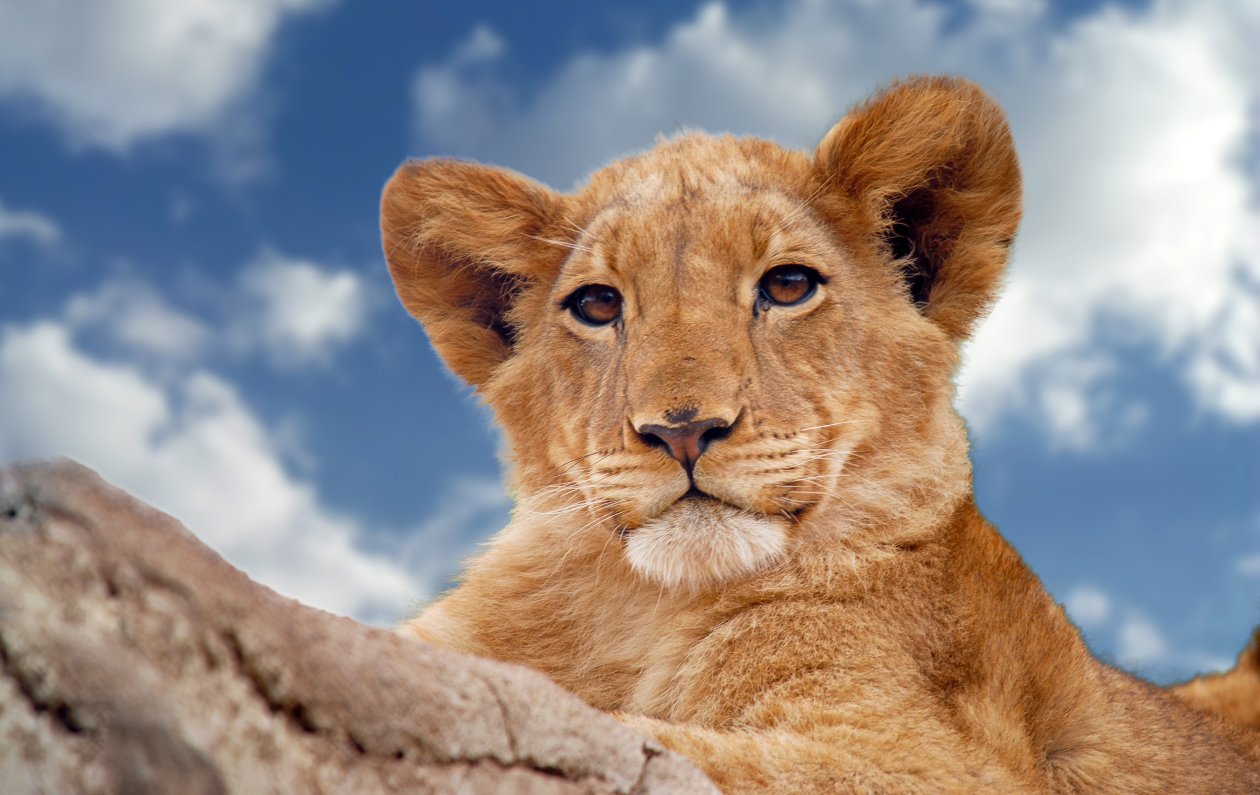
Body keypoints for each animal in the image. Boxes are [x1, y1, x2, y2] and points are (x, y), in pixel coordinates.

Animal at [381, 77, 1260, 792]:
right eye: (598, 305)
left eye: (788, 285)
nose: (683, 429)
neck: (639, 610)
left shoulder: (928, 759)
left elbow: (650, 743)